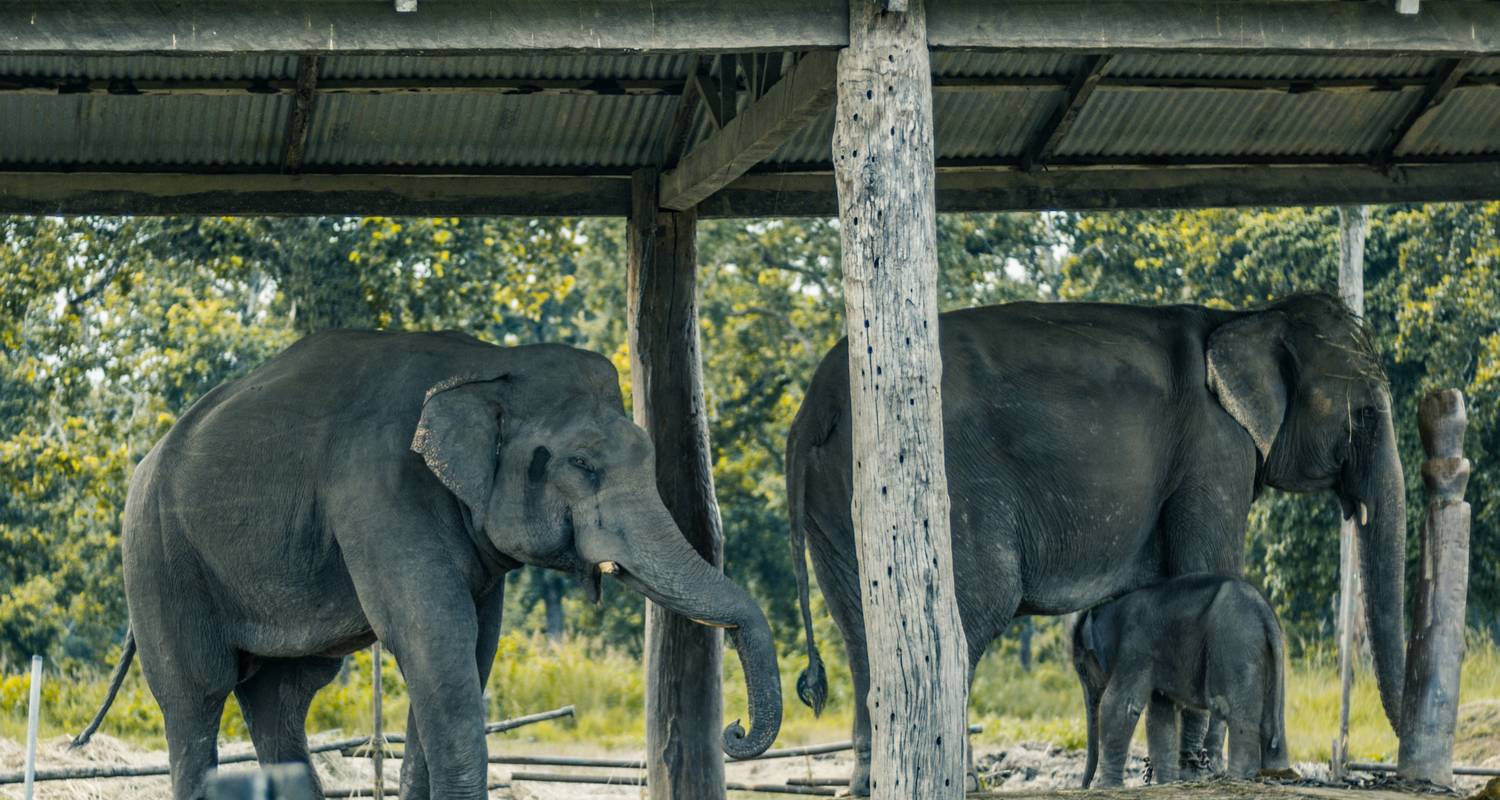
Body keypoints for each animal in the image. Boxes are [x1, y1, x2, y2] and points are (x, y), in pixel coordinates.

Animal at [73, 327, 786, 792]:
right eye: (583, 466)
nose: (735, 731)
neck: (489, 365)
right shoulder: (380, 491)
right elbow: (434, 637)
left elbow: (471, 648)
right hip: (158, 556)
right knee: (196, 695)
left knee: (281, 696)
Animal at [1068, 573, 1290, 786]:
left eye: (1082, 668)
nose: (1085, 785)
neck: (1112, 608)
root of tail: (1266, 612)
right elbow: (1160, 715)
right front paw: (1167, 782)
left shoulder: (1135, 649)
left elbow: (1121, 706)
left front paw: (1107, 787)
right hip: (1266, 653)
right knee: (1272, 719)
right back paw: (1277, 773)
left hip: (1236, 643)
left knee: (1236, 714)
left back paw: (1238, 777)